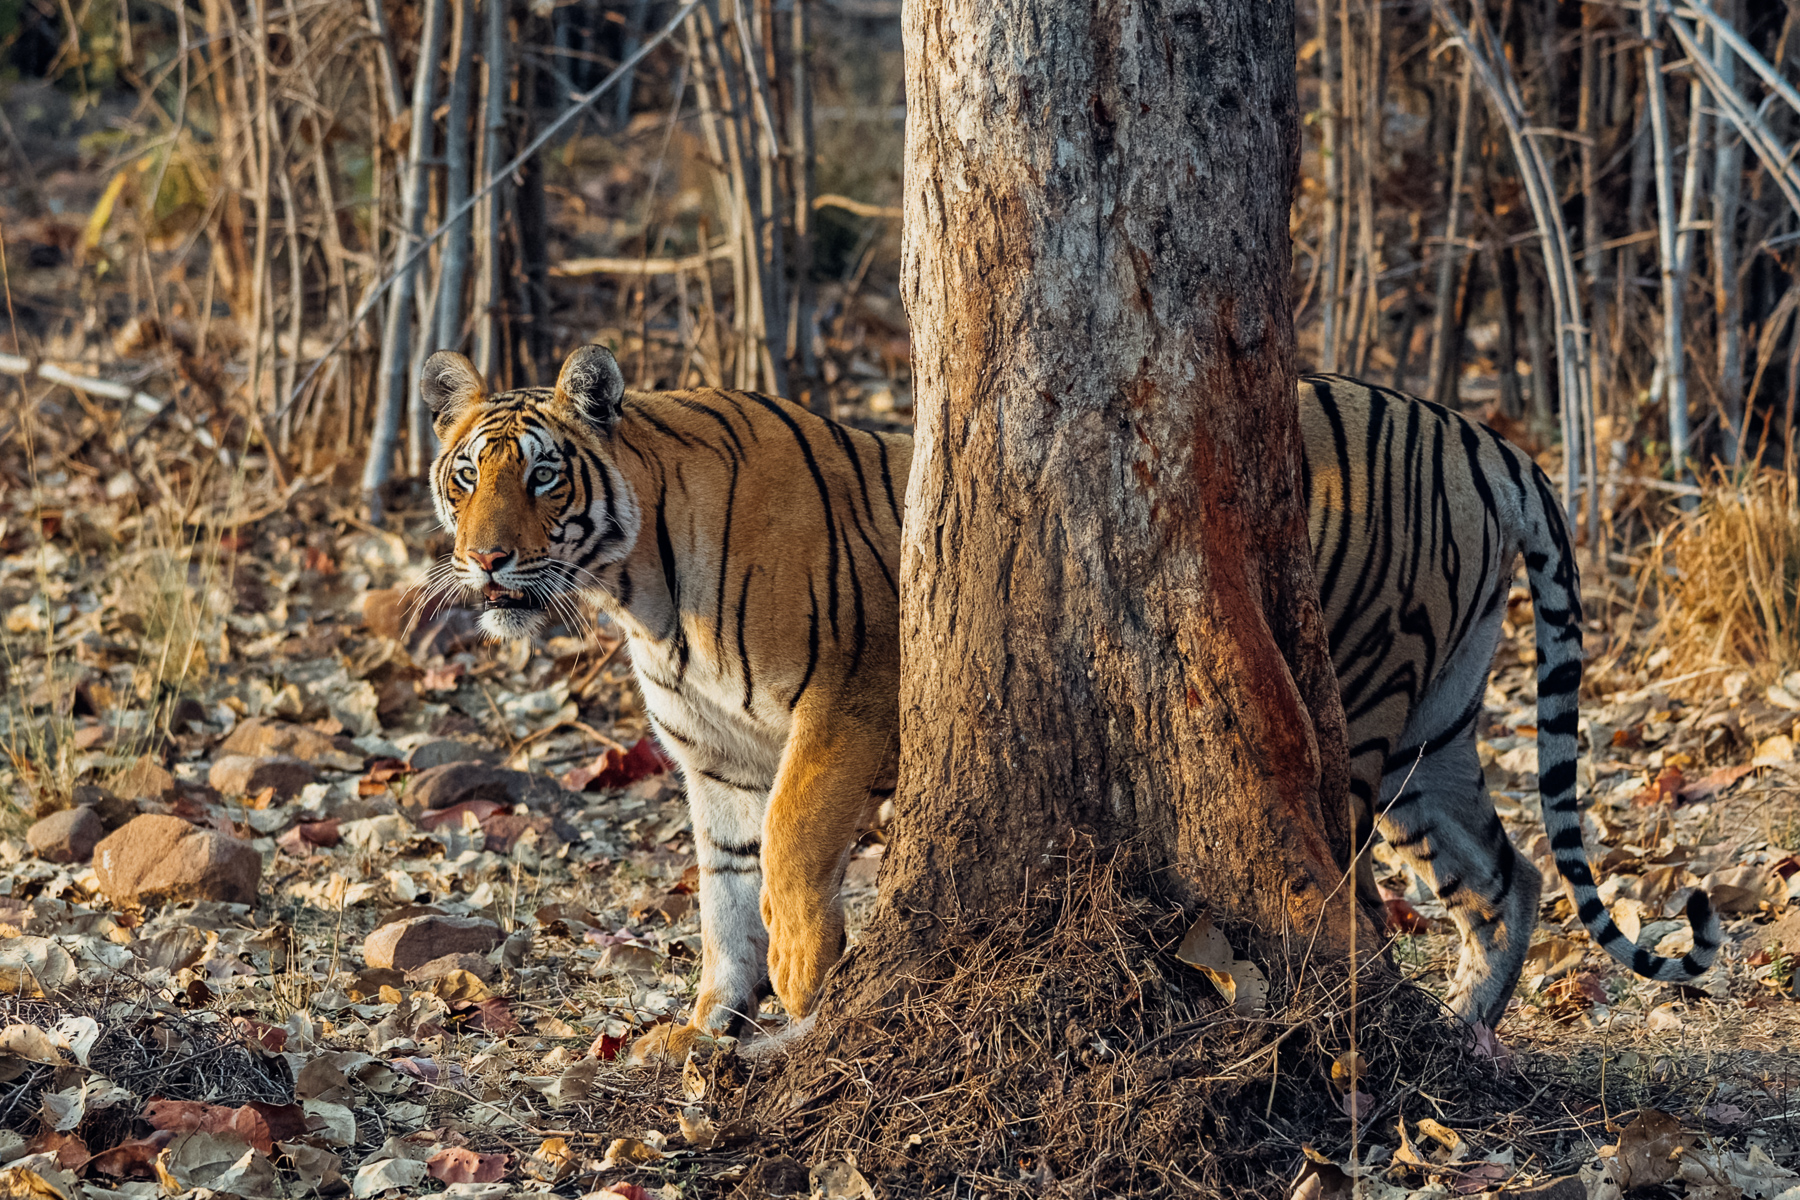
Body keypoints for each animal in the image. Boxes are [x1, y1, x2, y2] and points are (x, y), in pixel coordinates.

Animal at [422, 344, 1718, 1058]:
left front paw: (801, 983)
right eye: (464, 474)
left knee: (1357, 882)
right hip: (1436, 726)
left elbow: (790, 852)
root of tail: (1478, 433)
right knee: (1508, 875)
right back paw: (1466, 1032)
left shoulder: (848, 702)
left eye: (544, 477)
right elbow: (723, 897)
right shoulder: (716, 759)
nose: (484, 563)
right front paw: (709, 1026)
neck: (641, 591)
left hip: (1361, 701)